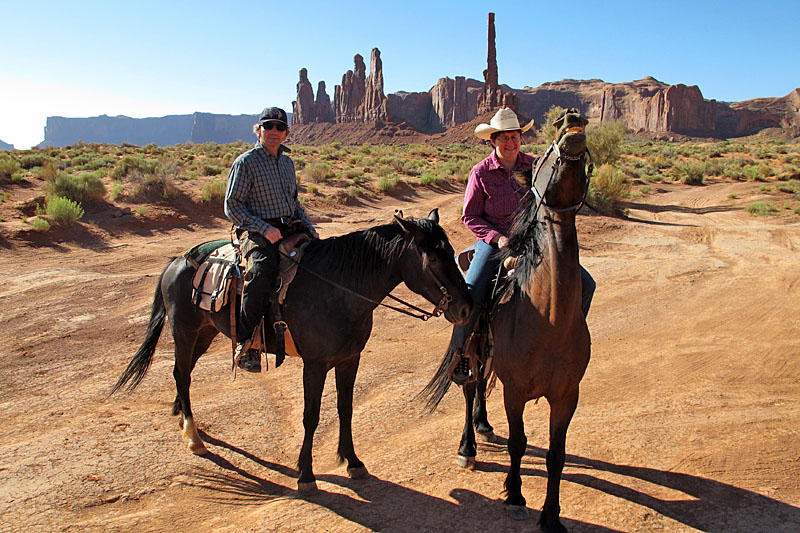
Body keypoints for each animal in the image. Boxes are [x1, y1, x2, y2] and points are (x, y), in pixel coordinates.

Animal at [109, 210, 472, 492]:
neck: (339, 288)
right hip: (184, 331)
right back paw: (193, 435)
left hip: (205, 331)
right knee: (181, 373)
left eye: (451, 251)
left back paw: (182, 415)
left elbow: (345, 408)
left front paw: (353, 461)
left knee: (182, 374)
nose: (467, 308)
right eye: (433, 258)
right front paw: (306, 475)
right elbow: (311, 416)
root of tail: (177, 261)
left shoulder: (349, 360)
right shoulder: (314, 364)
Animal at [424, 110, 592, 528]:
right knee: (470, 388)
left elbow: (556, 455)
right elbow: (519, 443)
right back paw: (468, 446)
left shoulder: (568, 395)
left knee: (482, 387)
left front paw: (551, 516)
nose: (571, 118)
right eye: (547, 149)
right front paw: (515, 495)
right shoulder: (515, 392)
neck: (549, 319)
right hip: (469, 349)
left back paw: (484, 425)